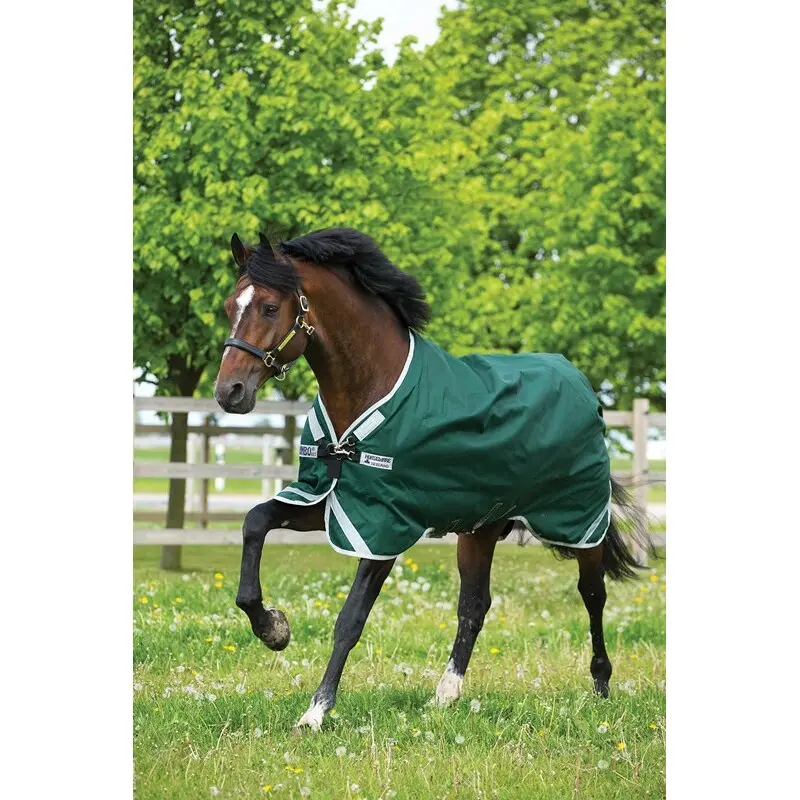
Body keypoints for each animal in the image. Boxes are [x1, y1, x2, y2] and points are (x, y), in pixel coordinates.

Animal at [213, 227, 652, 733]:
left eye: (269, 307)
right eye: (230, 305)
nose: (229, 392)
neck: (371, 386)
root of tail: (582, 385)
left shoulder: (382, 526)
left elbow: (350, 619)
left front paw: (316, 711)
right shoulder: (331, 500)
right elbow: (255, 522)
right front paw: (274, 628)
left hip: (578, 521)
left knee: (592, 594)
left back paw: (600, 684)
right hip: (480, 529)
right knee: (474, 605)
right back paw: (445, 694)